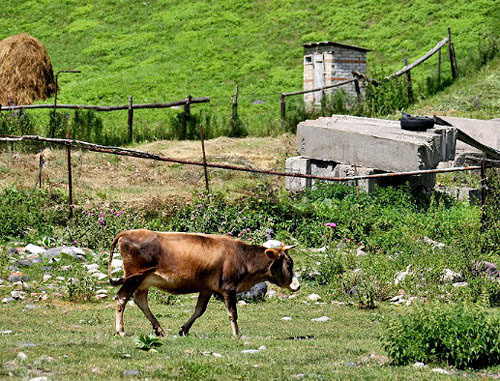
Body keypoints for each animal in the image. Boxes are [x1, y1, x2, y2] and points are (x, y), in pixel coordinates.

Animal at [108, 229, 298, 336]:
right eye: (289, 263)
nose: (297, 285)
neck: (242, 256)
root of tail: (126, 233)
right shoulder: (229, 288)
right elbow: (233, 313)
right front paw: (236, 334)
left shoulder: (207, 288)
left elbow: (199, 310)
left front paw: (184, 329)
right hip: (134, 277)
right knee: (121, 298)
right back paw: (121, 330)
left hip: (143, 281)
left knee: (140, 300)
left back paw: (159, 329)